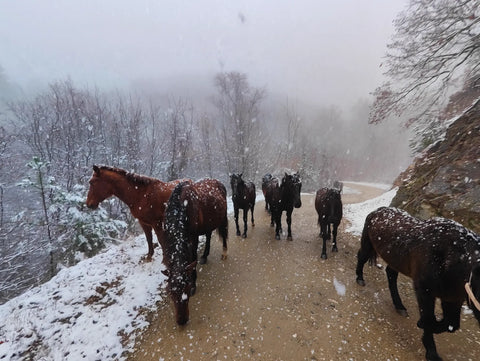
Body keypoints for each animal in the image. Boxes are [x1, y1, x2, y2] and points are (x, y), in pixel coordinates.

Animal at [161, 177, 229, 324]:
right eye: (170, 292)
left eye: (186, 288)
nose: (182, 320)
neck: (181, 207)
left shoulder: (193, 237)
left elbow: (192, 258)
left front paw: (194, 283)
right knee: (208, 235)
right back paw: (204, 256)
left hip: (222, 218)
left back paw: (224, 253)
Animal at [356, 205, 480, 360]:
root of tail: (376, 211)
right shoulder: (424, 291)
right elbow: (428, 318)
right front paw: (431, 351)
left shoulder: (452, 298)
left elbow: (451, 324)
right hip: (367, 244)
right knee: (361, 257)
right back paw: (359, 278)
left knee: (391, 275)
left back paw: (399, 306)